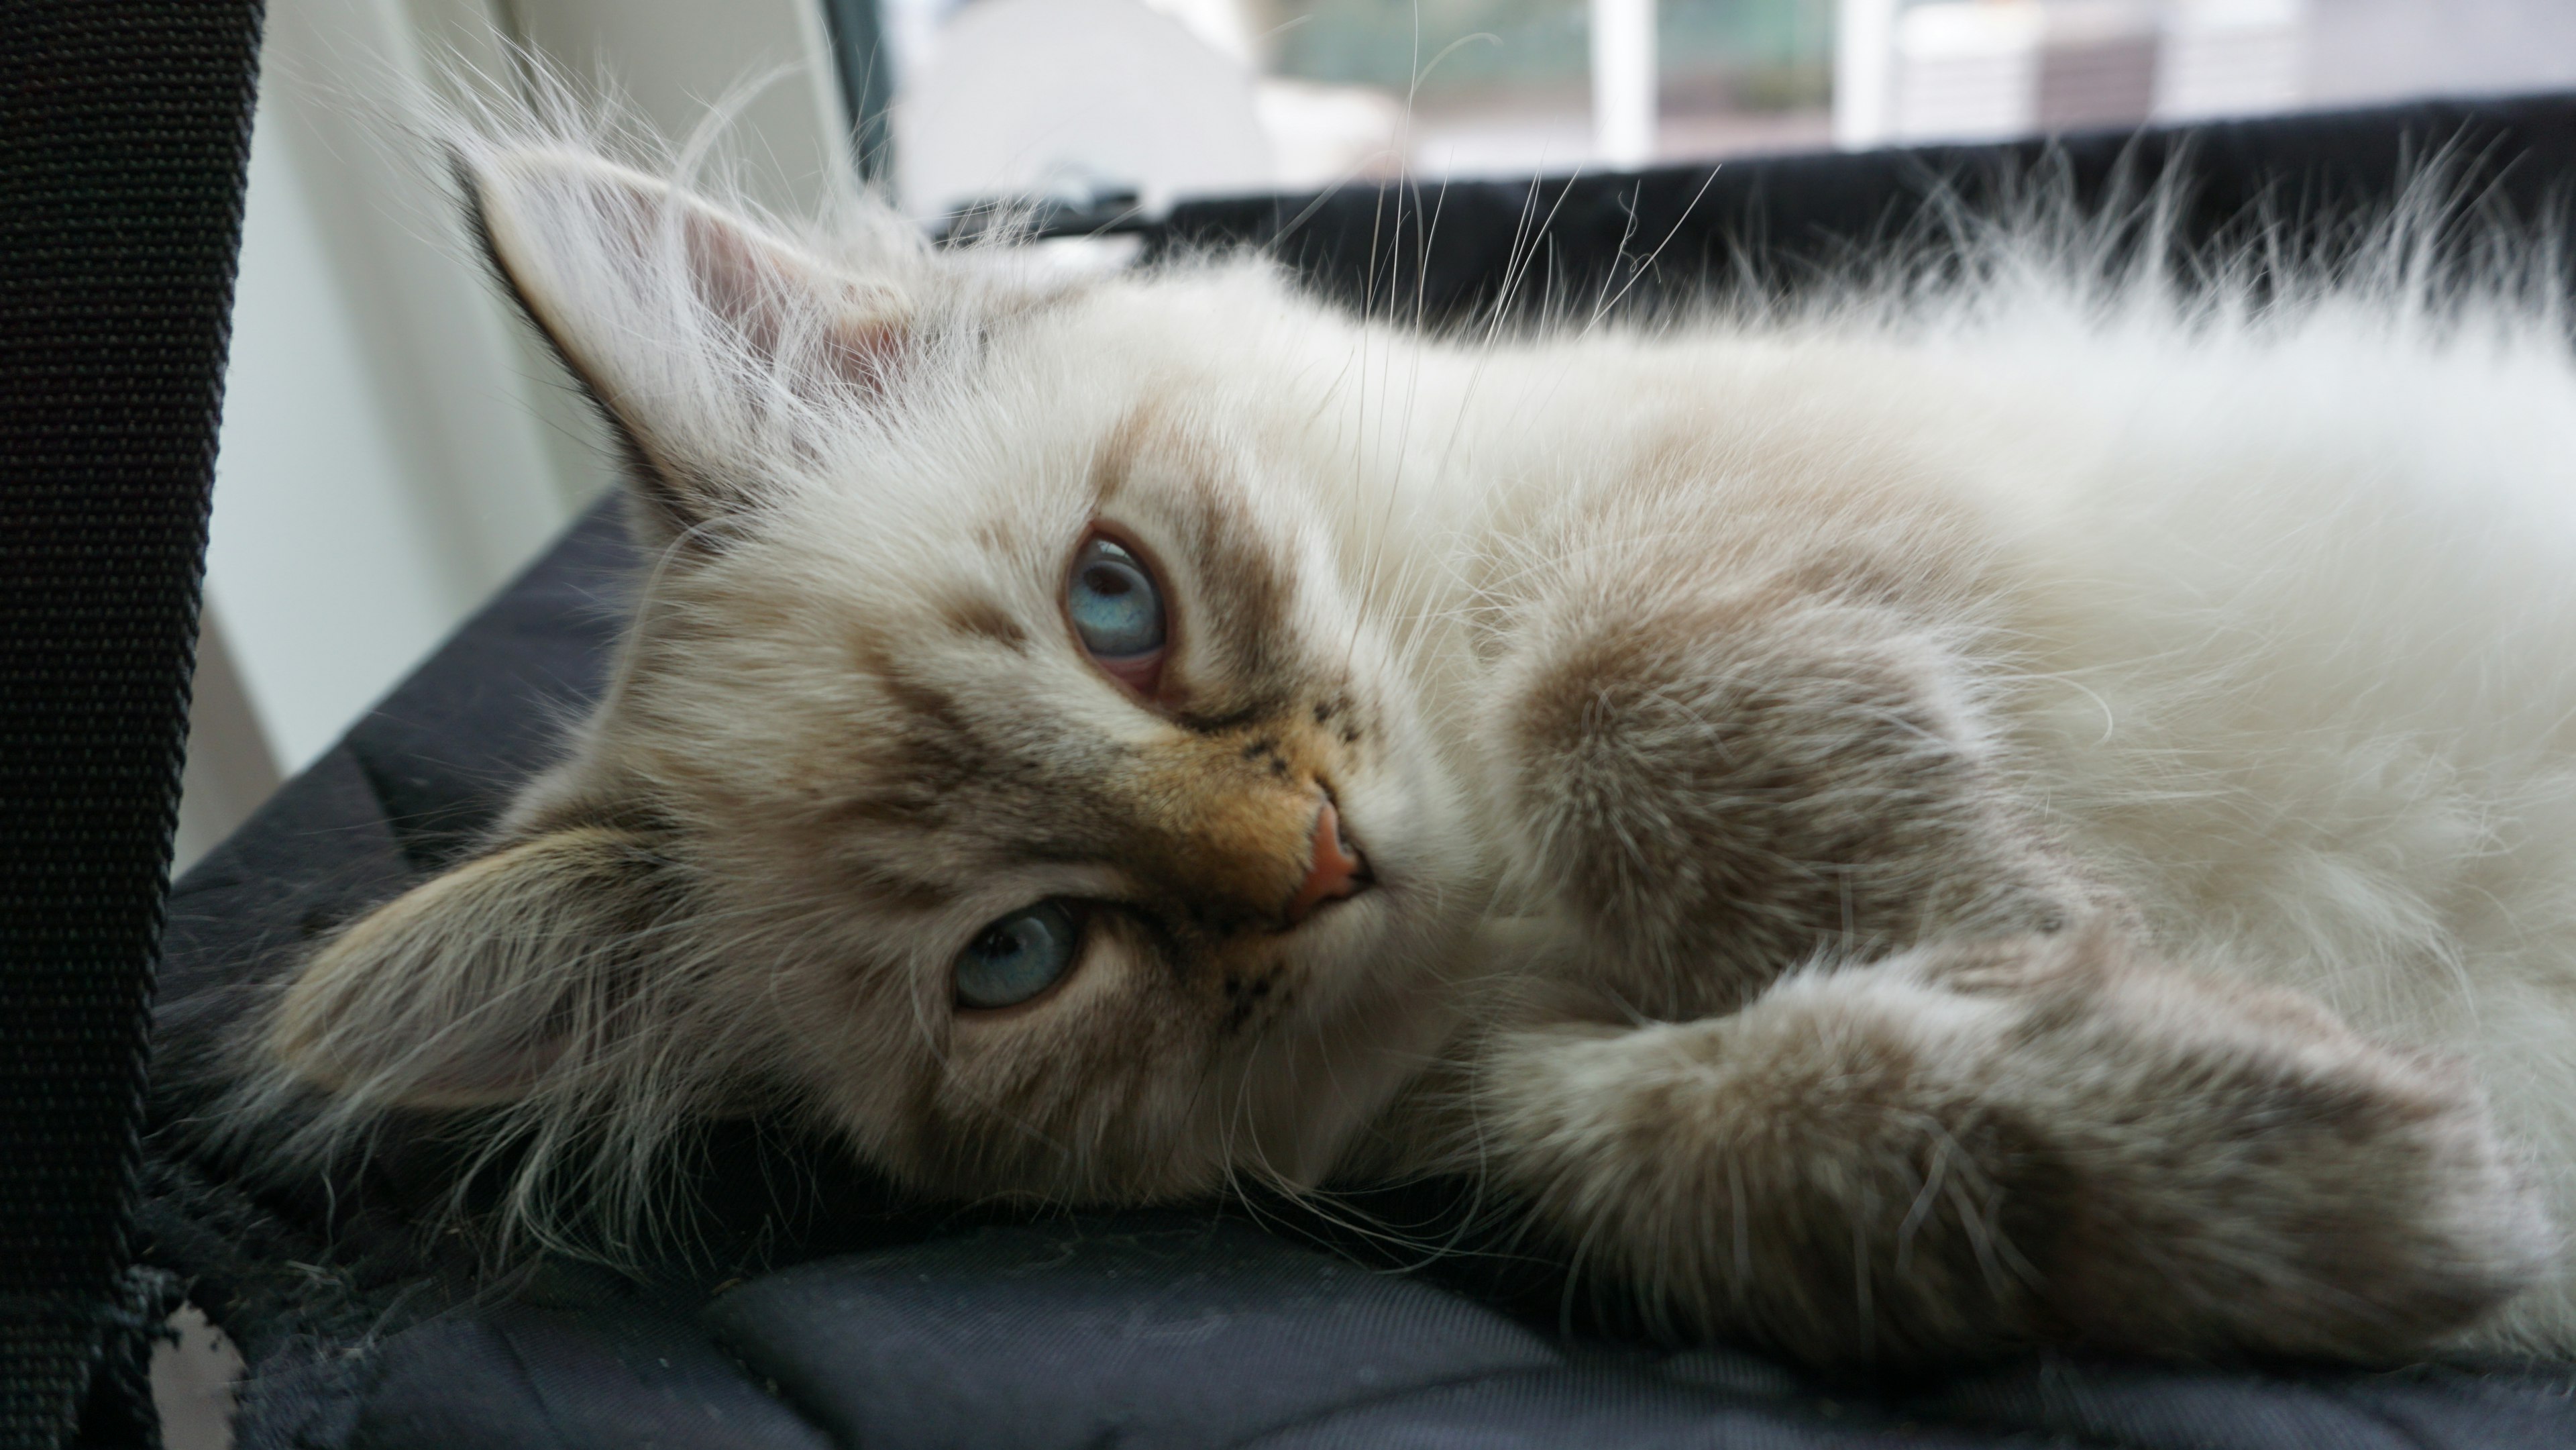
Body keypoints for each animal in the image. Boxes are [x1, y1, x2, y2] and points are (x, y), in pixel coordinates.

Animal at [251, 105, 2576, 1370]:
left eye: (1116, 607)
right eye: (1021, 958)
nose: (1312, 862)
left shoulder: (1747, 506)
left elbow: (1618, 703)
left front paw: (2027, 928)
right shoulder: (1500, 1134)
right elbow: (1751, 1144)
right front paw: (2334, 1169)